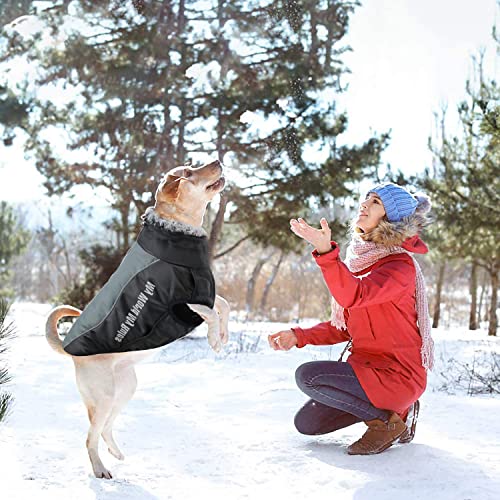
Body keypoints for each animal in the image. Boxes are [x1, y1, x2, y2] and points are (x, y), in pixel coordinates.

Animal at [45, 158, 230, 478]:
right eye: (189, 172)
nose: (218, 160)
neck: (177, 230)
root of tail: (69, 351)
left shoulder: (205, 293)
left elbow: (225, 306)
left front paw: (224, 336)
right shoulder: (183, 303)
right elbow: (212, 313)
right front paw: (214, 340)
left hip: (126, 388)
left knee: (106, 429)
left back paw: (116, 453)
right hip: (104, 396)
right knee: (90, 436)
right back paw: (100, 469)